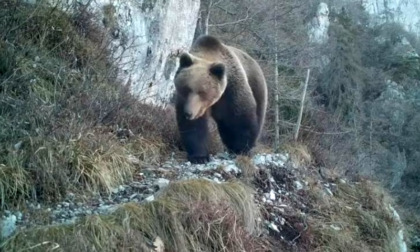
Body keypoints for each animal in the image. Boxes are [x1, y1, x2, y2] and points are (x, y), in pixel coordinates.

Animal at [173, 35, 266, 163]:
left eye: (202, 92)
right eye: (186, 89)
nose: (188, 113)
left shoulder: (231, 91)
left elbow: (240, 118)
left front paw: (242, 149)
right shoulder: (186, 102)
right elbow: (193, 127)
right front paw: (199, 157)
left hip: (257, 85)